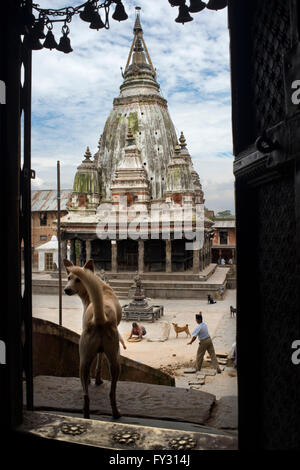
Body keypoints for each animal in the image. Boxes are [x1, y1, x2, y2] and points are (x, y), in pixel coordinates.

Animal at [63, 258, 122, 420]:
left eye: (78, 279)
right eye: (68, 278)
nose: (66, 290)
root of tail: (100, 318)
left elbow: (96, 362)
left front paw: (94, 380)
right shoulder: (100, 351)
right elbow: (99, 361)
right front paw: (98, 380)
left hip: (83, 359)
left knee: (86, 395)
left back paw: (86, 414)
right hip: (114, 359)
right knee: (111, 393)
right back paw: (115, 413)